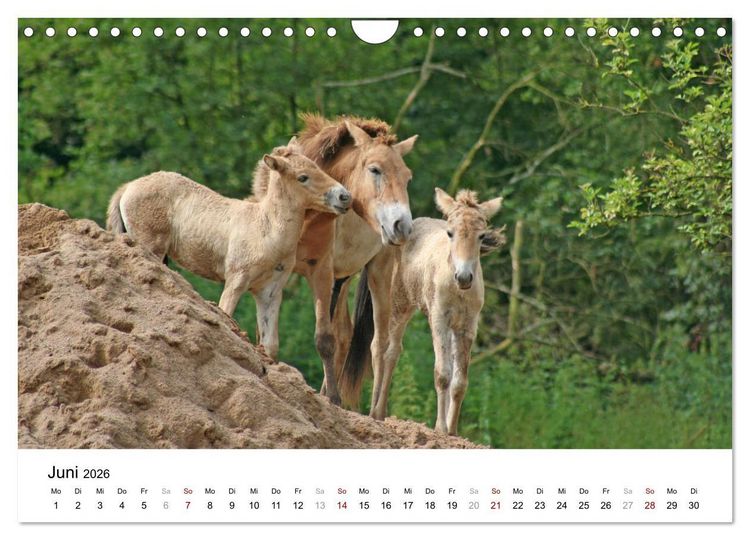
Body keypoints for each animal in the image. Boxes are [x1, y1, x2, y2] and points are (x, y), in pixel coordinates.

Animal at [106, 142, 351, 360]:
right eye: (302, 177)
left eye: (317, 166)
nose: (345, 197)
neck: (266, 228)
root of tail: (128, 187)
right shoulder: (236, 281)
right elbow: (226, 315)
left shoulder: (270, 291)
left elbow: (269, 346)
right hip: (151, 248)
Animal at [252, 114, 418, 405]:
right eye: (375, 170)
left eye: (407, 178)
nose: (402, 226)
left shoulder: (322, 272)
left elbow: (324, 338)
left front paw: (333, 398)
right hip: (342, 279)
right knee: (345, 334)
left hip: (378, 272)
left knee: (380, 345)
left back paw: (374, 411)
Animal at [343, 188, 505, 433]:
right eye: (450, 233)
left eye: (481, 236)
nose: (464, 277)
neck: (455, 286)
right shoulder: (438, 320)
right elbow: (442, 374)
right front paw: (440, 428)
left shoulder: (467, 326)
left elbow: (459, 381)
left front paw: (453, 431)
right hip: (394, 305)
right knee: (381, 348)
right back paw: (375, 413)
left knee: (393, 352)